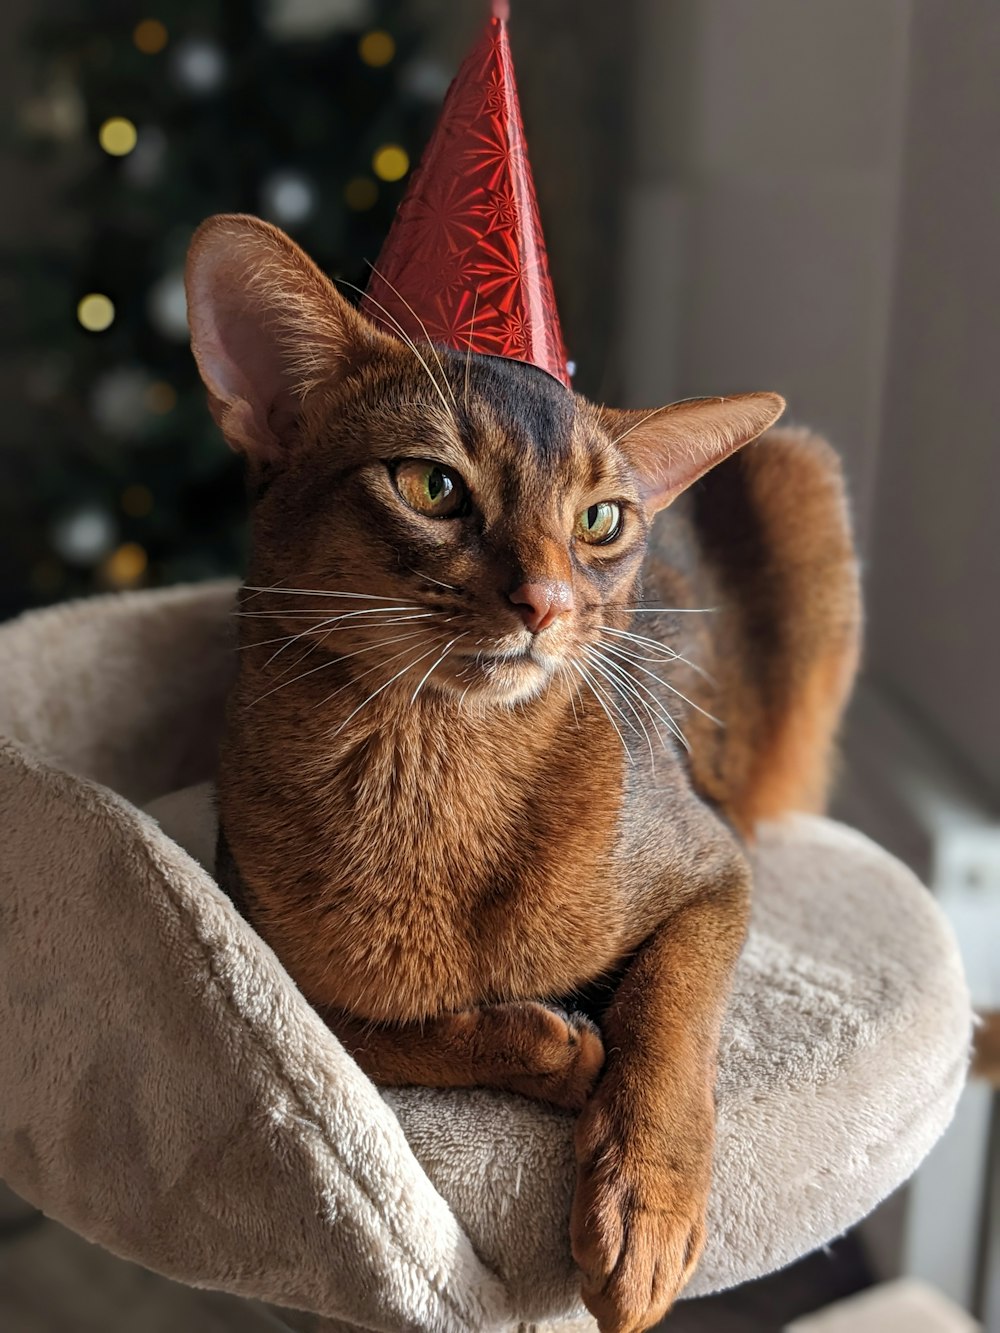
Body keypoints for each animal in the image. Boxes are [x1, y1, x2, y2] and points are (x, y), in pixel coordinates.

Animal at [186, 213, 864, 1333]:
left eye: (601, 520)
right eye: (431, 485)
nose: (545, 602)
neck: (434, 770)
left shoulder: (711, 868)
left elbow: (670, 1015)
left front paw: (643, 1210)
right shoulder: (266, 943)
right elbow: (370, 1031)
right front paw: (555, 1048)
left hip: (804, 496)